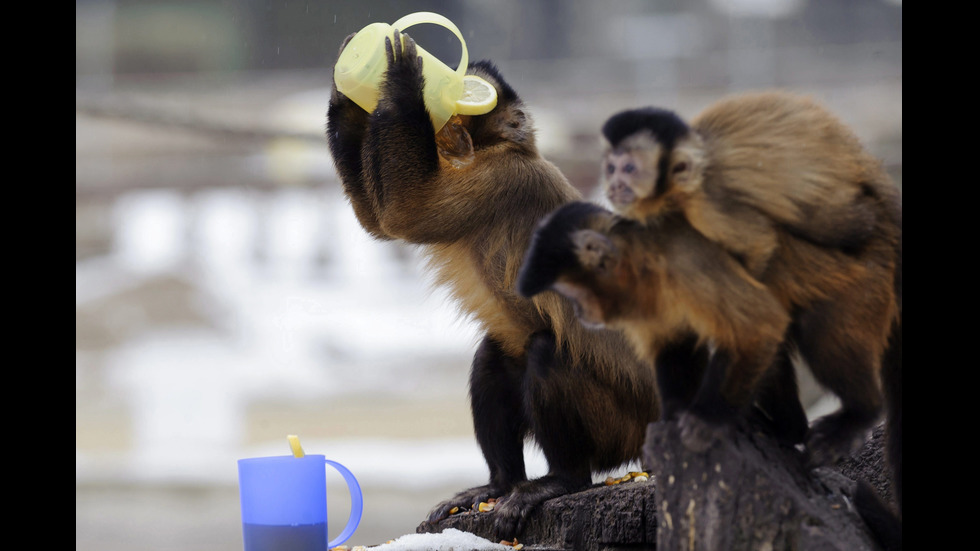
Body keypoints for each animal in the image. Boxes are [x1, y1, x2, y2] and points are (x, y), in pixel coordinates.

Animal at [326, 29, 668, 540]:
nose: (448, 123)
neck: (502, 150)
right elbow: (381, 222)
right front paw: (347, 91)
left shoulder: (505, 178)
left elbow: (405, 214)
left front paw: (403, 81)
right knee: (496, 354)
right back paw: (499, 484)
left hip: (619, 426)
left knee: (544, 350)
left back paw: (562, 480)